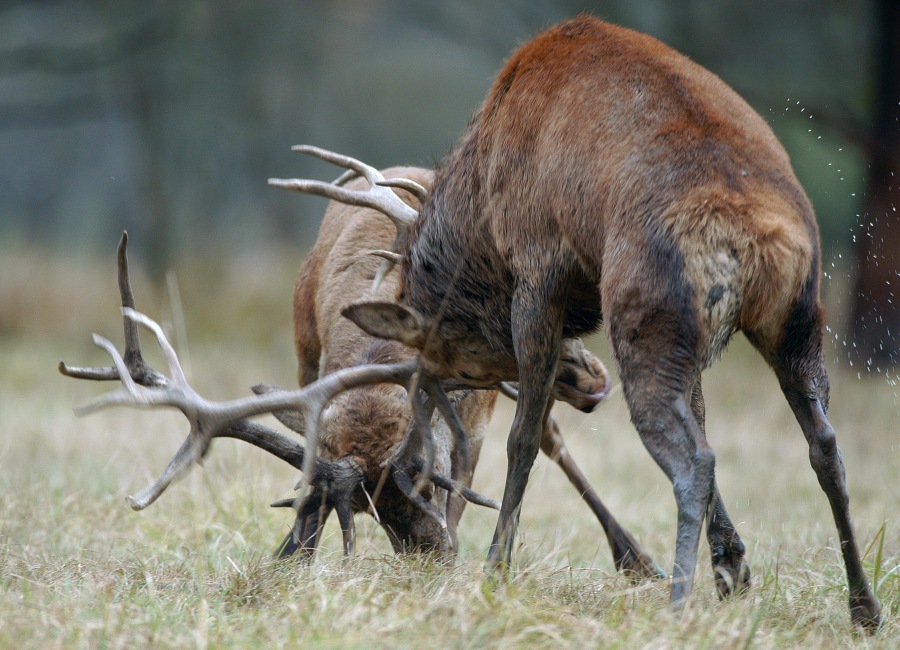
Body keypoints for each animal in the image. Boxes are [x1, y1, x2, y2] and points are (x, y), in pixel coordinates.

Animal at [269, 15, 881, 630]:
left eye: (450, 357)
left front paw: (496, 570)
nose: (587, 383)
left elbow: (522, 439)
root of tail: (761, 239)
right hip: (793, 319)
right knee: (824, 445)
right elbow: (705, 416)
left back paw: (677, 606)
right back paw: (863, 606)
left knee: (695, 461)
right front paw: (734, 570)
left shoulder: (538, 266)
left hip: (646, 319)